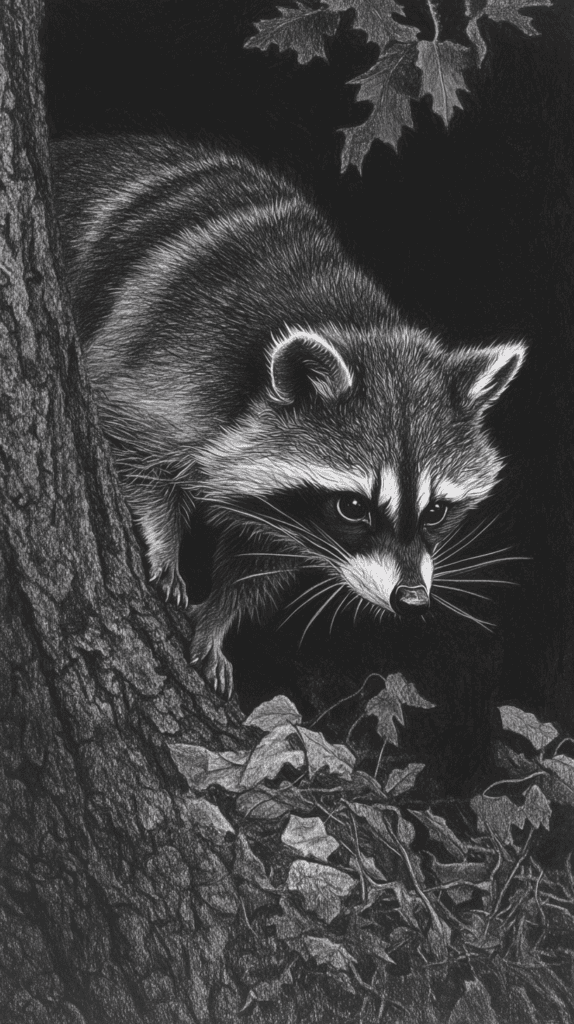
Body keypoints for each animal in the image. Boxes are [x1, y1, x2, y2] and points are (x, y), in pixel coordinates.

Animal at [51, 134, 526, 697]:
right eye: (353, 507)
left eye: (436, 511)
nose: (411, 601)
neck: (347, 319)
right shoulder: (174, 355)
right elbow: (133, 435)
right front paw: (163, 537)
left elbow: (259, 556)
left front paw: (218, 616)